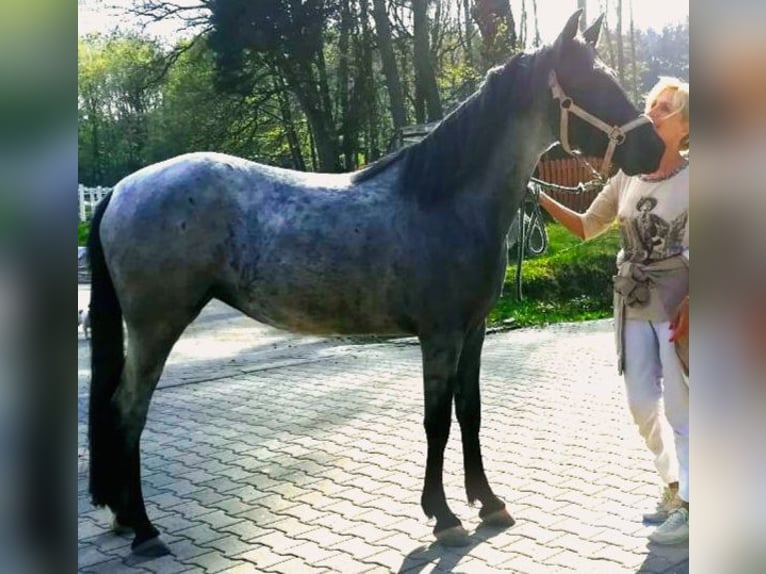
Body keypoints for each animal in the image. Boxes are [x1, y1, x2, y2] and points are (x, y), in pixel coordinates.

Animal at [87, 10, 664, 557]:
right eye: (589, 83)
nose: (655, 148)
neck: (445, 200)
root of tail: (122, 189)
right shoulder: (439, 337)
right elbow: (437, 421)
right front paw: (444, 516)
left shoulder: (474, 331)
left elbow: (470, 413)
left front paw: (488, 502)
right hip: (156, 327)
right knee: (128, 410)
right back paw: (144, 529)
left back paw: (125, 519)